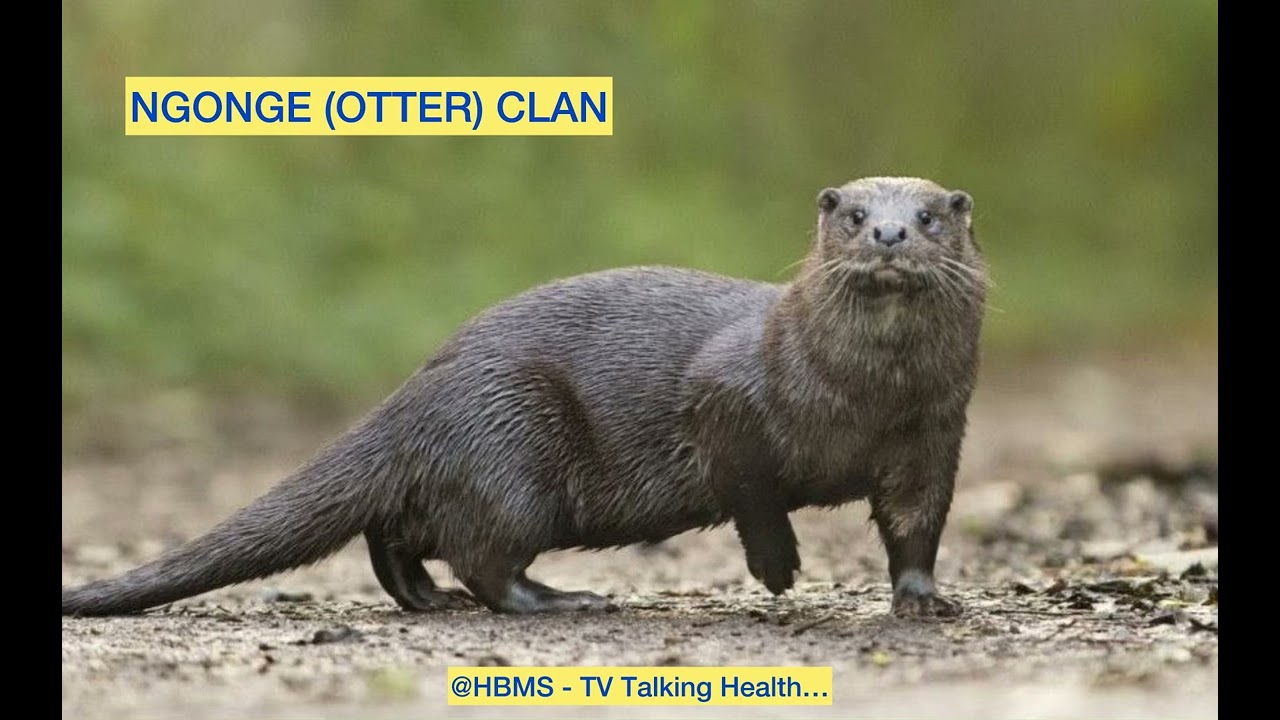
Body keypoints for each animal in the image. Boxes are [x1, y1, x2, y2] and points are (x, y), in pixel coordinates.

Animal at [62, 176, 987, 618]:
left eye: (932, 216)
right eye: (853, 212)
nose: (890, 234)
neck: (861, 403)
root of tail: (419, 388)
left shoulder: (933, 435)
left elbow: (916, 524)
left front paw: (924, 600)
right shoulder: (726, 389)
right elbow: (747, 485)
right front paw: (776, 566)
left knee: (398, 533)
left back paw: (425, 598)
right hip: (511, 442)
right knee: (484, 557)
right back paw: (565, 599)